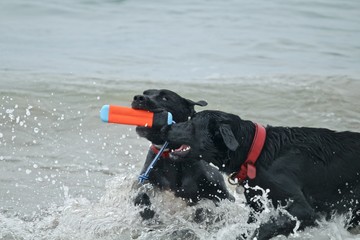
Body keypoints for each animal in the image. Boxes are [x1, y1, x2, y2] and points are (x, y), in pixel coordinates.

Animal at [163, 109, 360, 239]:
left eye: (191, 123)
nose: (164, 128)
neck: (256, 153)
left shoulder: (303, 211)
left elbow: (263, 229)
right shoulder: (255, 206)